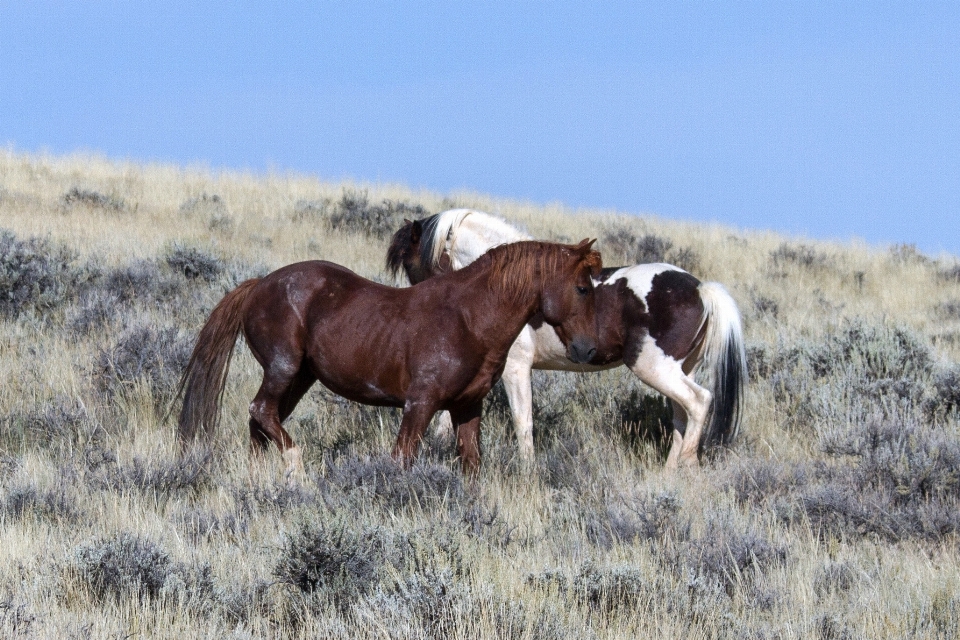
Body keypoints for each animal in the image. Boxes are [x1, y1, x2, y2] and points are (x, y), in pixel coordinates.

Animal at [176, 240, 600, 476]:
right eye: (582, 287)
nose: (588, 349)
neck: (469, 318)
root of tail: (258, 285)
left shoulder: (467, 407)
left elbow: (471, 465)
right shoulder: (420, 404)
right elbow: (402, 459)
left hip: (299, 378)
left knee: (260, 423)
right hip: (283, 370)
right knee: (262, 411)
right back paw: (296, 470)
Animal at [386, 210, 748, 470]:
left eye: (412, 264)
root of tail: (701, 288)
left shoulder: (515, 369)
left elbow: (523, 422)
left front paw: (527, 472)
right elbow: (447, 420)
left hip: (655, 368)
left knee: (699, 401)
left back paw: (687, 465)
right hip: (679, 370)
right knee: (682, 414)